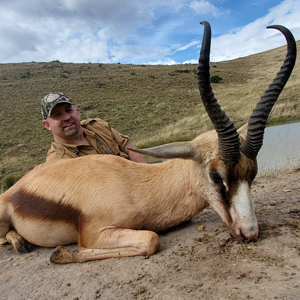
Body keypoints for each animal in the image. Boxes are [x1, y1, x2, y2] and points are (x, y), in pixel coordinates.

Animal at [0, 22, 296, 264]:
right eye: (216, 176)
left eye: (252, 173)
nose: (250, 232)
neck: (138, 185)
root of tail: (14, 190)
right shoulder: (94, 234)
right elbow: (151, 240)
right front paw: (61, 253)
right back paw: (20, 243)